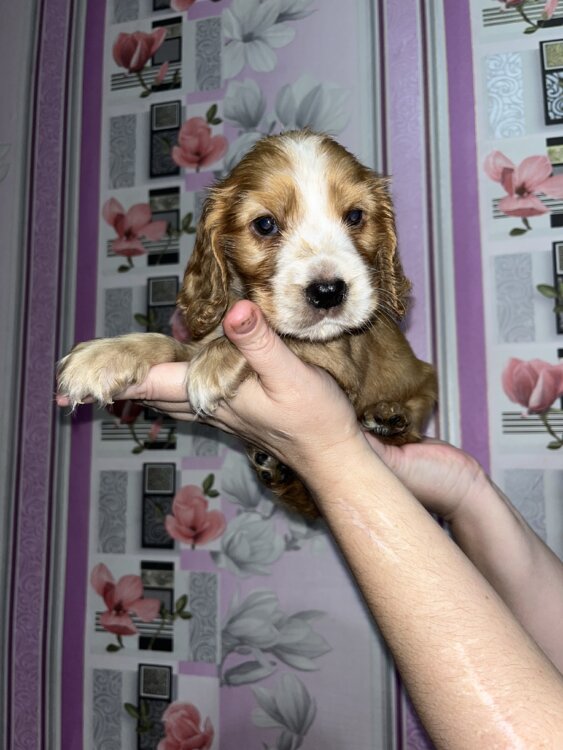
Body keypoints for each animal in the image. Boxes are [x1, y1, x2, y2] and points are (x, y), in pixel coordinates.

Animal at [58, 130, 437, 518]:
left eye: (356, 216)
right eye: (265, 225)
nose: (328, 292)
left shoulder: (340, 362)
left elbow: (283, 336)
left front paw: (214, 362)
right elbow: (172, 344)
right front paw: (107, 355)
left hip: (424, 384)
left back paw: (388, 418)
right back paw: (276, 468)